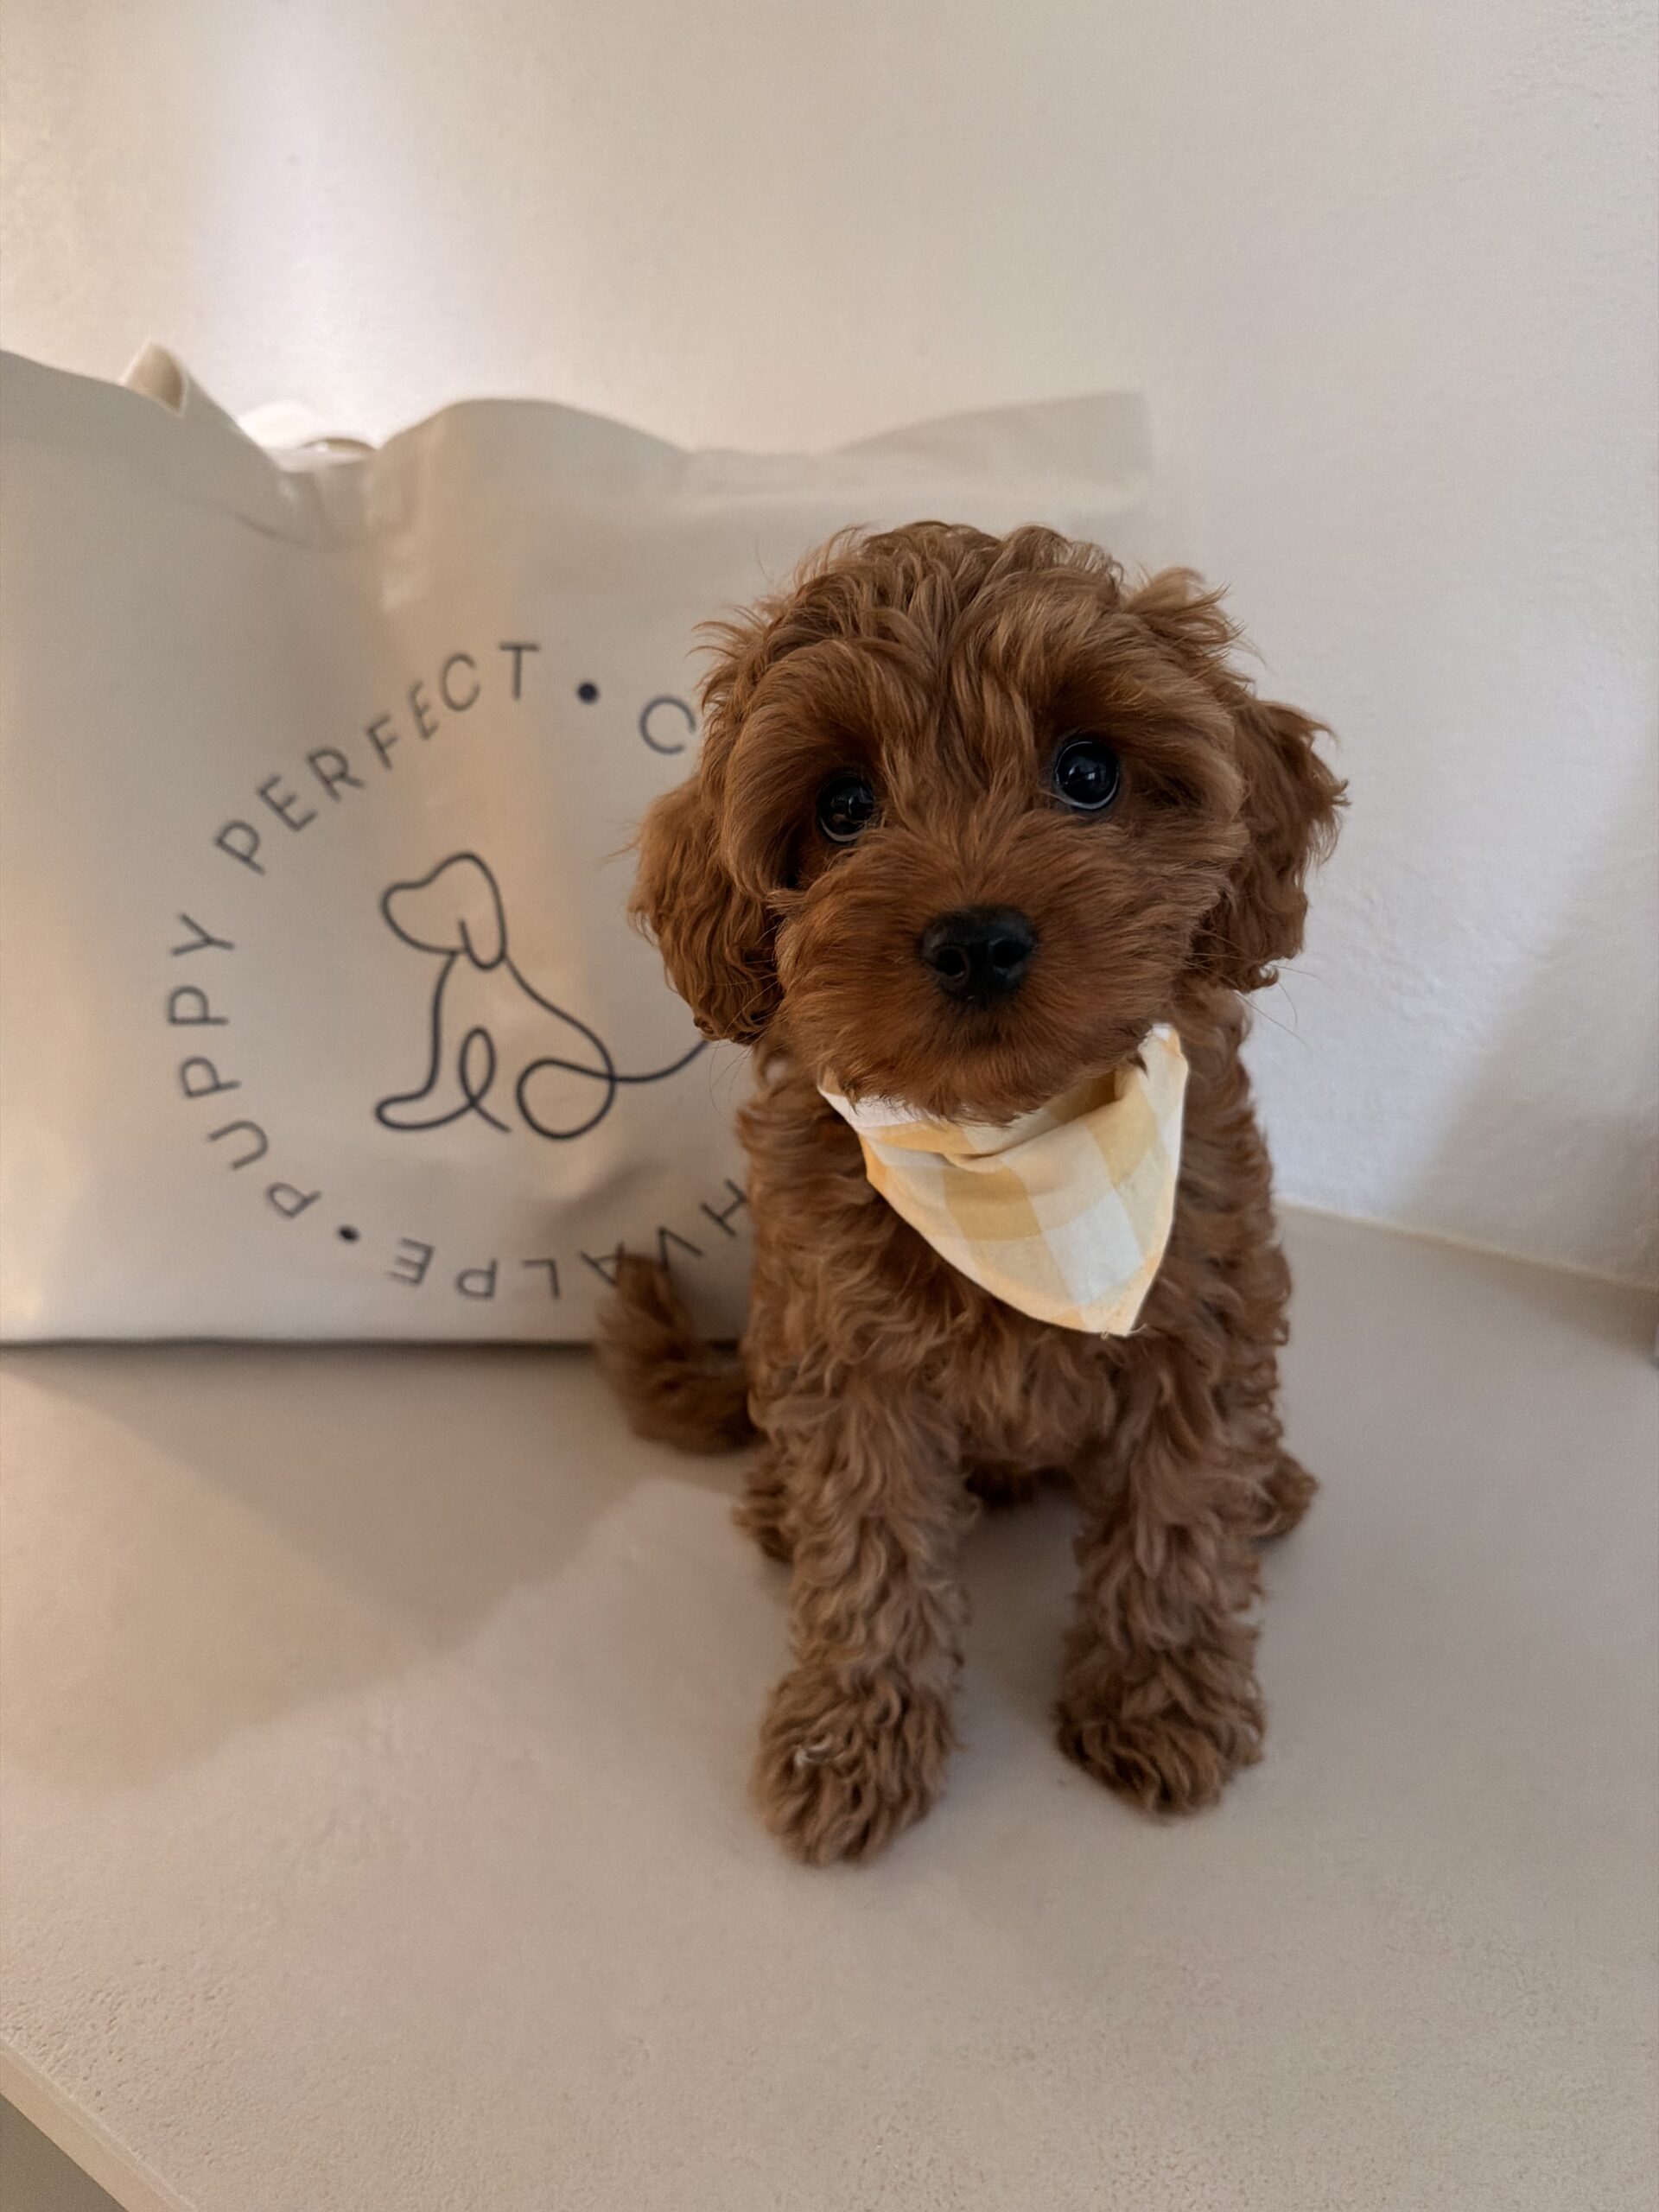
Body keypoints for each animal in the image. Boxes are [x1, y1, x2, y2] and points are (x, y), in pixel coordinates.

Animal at [601, 523, 1343, 1863]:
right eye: (843, 808)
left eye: (1089, 772)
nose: (980, 938)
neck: (1011, 1147)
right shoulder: (847, 1354)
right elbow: (871, 1550)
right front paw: (855, 1735)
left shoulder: (1200, 1306)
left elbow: (1177, 1514)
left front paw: (1159, 1696)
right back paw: (779, 1507)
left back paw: (1272, 1484)